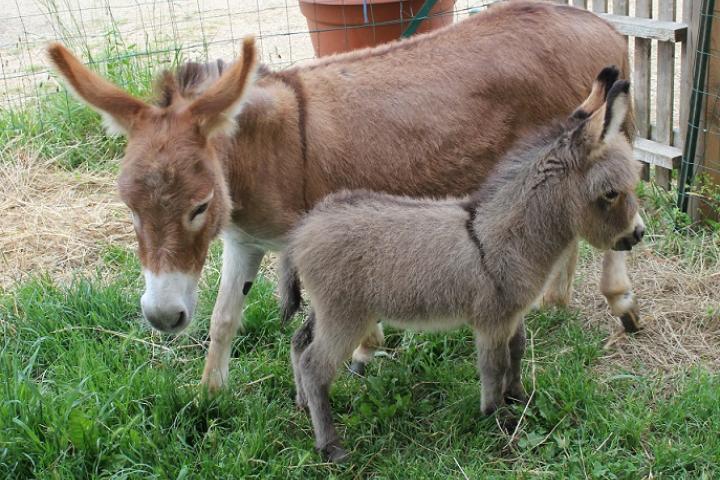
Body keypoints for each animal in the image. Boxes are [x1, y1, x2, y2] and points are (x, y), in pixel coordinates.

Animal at [278, 73, 644, 464]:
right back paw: (330, 446)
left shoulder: (513, 313)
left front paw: (517, 396)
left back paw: (302, 405)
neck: (505, 236)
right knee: (315, 366)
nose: (638, 234)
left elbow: (518, 349)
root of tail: (303, 229)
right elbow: (494, 365)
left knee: (299, 343)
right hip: (345, 317)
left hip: (326, 309)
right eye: (610, 193)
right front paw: (497, 417)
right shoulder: (492, 320)